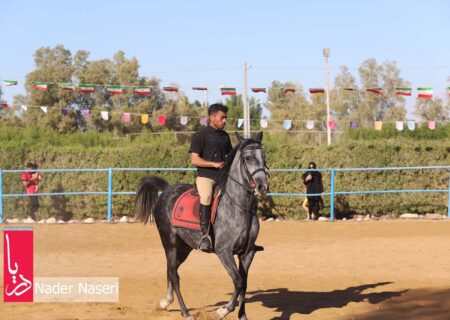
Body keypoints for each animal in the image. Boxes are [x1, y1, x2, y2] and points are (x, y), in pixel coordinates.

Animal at [135, 131, 268, 318]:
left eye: (264, 157)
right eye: (248, 158)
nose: (263, 186)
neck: (240, 207)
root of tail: (166, 190)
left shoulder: (247, 252)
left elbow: (244, 283)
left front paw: (242, 315)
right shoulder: (224, 252)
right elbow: (238, 281)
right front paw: (223, 311)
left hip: (184, 247)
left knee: (171, 269)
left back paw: (165, 302)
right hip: (170, 243)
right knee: (174, 275)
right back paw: (185, 312)